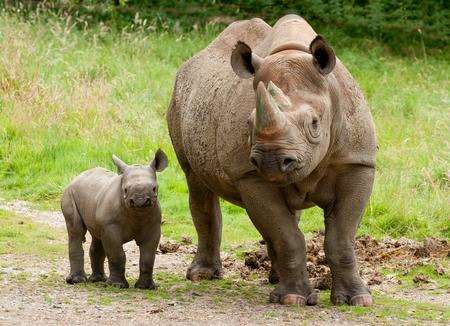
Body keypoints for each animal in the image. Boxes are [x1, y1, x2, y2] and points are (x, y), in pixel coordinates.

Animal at [61, 149, 169, 290]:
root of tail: (77, 177)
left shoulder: (153, 226)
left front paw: (146, 287)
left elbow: (148, 257)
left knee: (97, 235)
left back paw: (98, 279)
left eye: (154, 188)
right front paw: (117, 285)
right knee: (76, 232)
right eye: (125, 190)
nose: (140, 201)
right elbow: (117, 254)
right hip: (69, 192)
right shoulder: (110, 227)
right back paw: (77, 281)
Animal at [168, 14, 376, 306]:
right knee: (196, 182)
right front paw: (292, 299)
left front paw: (357, 300)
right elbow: (287, 236)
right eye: (248, 123)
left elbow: (341, 238)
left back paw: (275, 279)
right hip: (179, 98)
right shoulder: (249, 175)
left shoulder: (356, 163)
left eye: (315, 123)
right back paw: (203, 276)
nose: (271, 161)